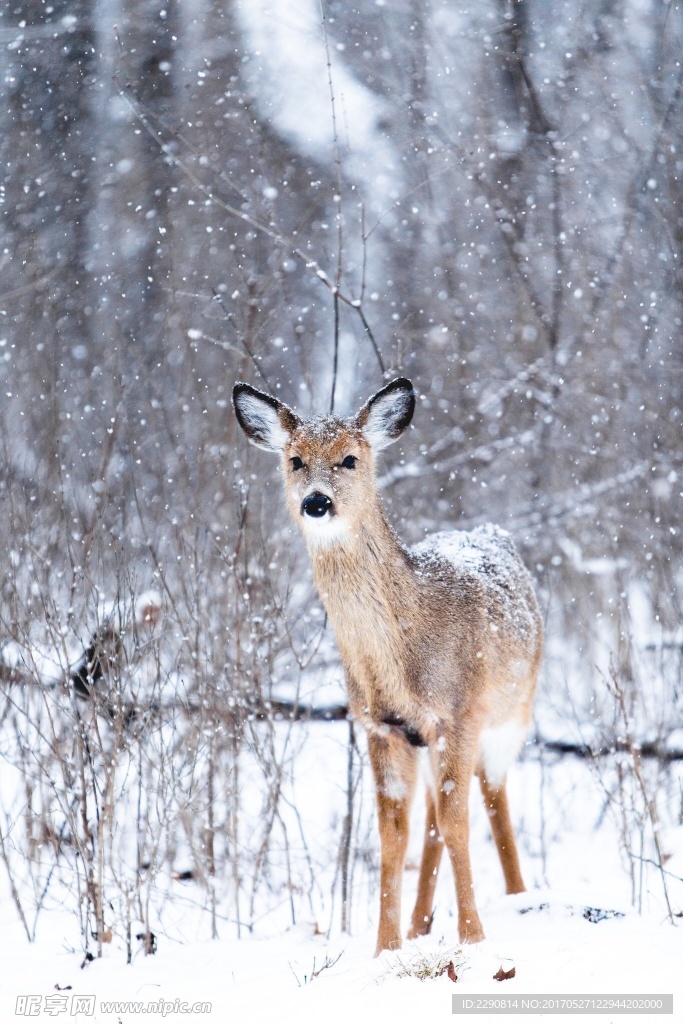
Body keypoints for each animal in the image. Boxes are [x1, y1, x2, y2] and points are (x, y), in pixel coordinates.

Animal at [235, 380, 544, 954]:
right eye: (295, 460)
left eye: (350, 459)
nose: (316, 502)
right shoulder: (382, 727)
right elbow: (393, 836)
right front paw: (386, 947)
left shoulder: (459, 714)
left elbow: (459, 823)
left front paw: (473, 938)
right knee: (431, 819)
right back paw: (422, 924)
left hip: (513, 712)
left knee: (492, 798)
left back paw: (518, 897)